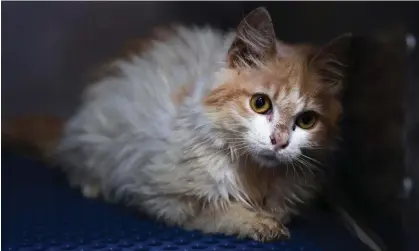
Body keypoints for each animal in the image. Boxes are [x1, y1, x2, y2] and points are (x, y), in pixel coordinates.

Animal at [2, 7, 352, 241]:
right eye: (260, 103)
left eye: (306, 121)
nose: (279, 141)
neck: (256, 175)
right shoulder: (165, 198)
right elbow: (221, 210)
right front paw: (260, 224)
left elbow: (280, 209)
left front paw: (270, 217)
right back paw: (93, 185)